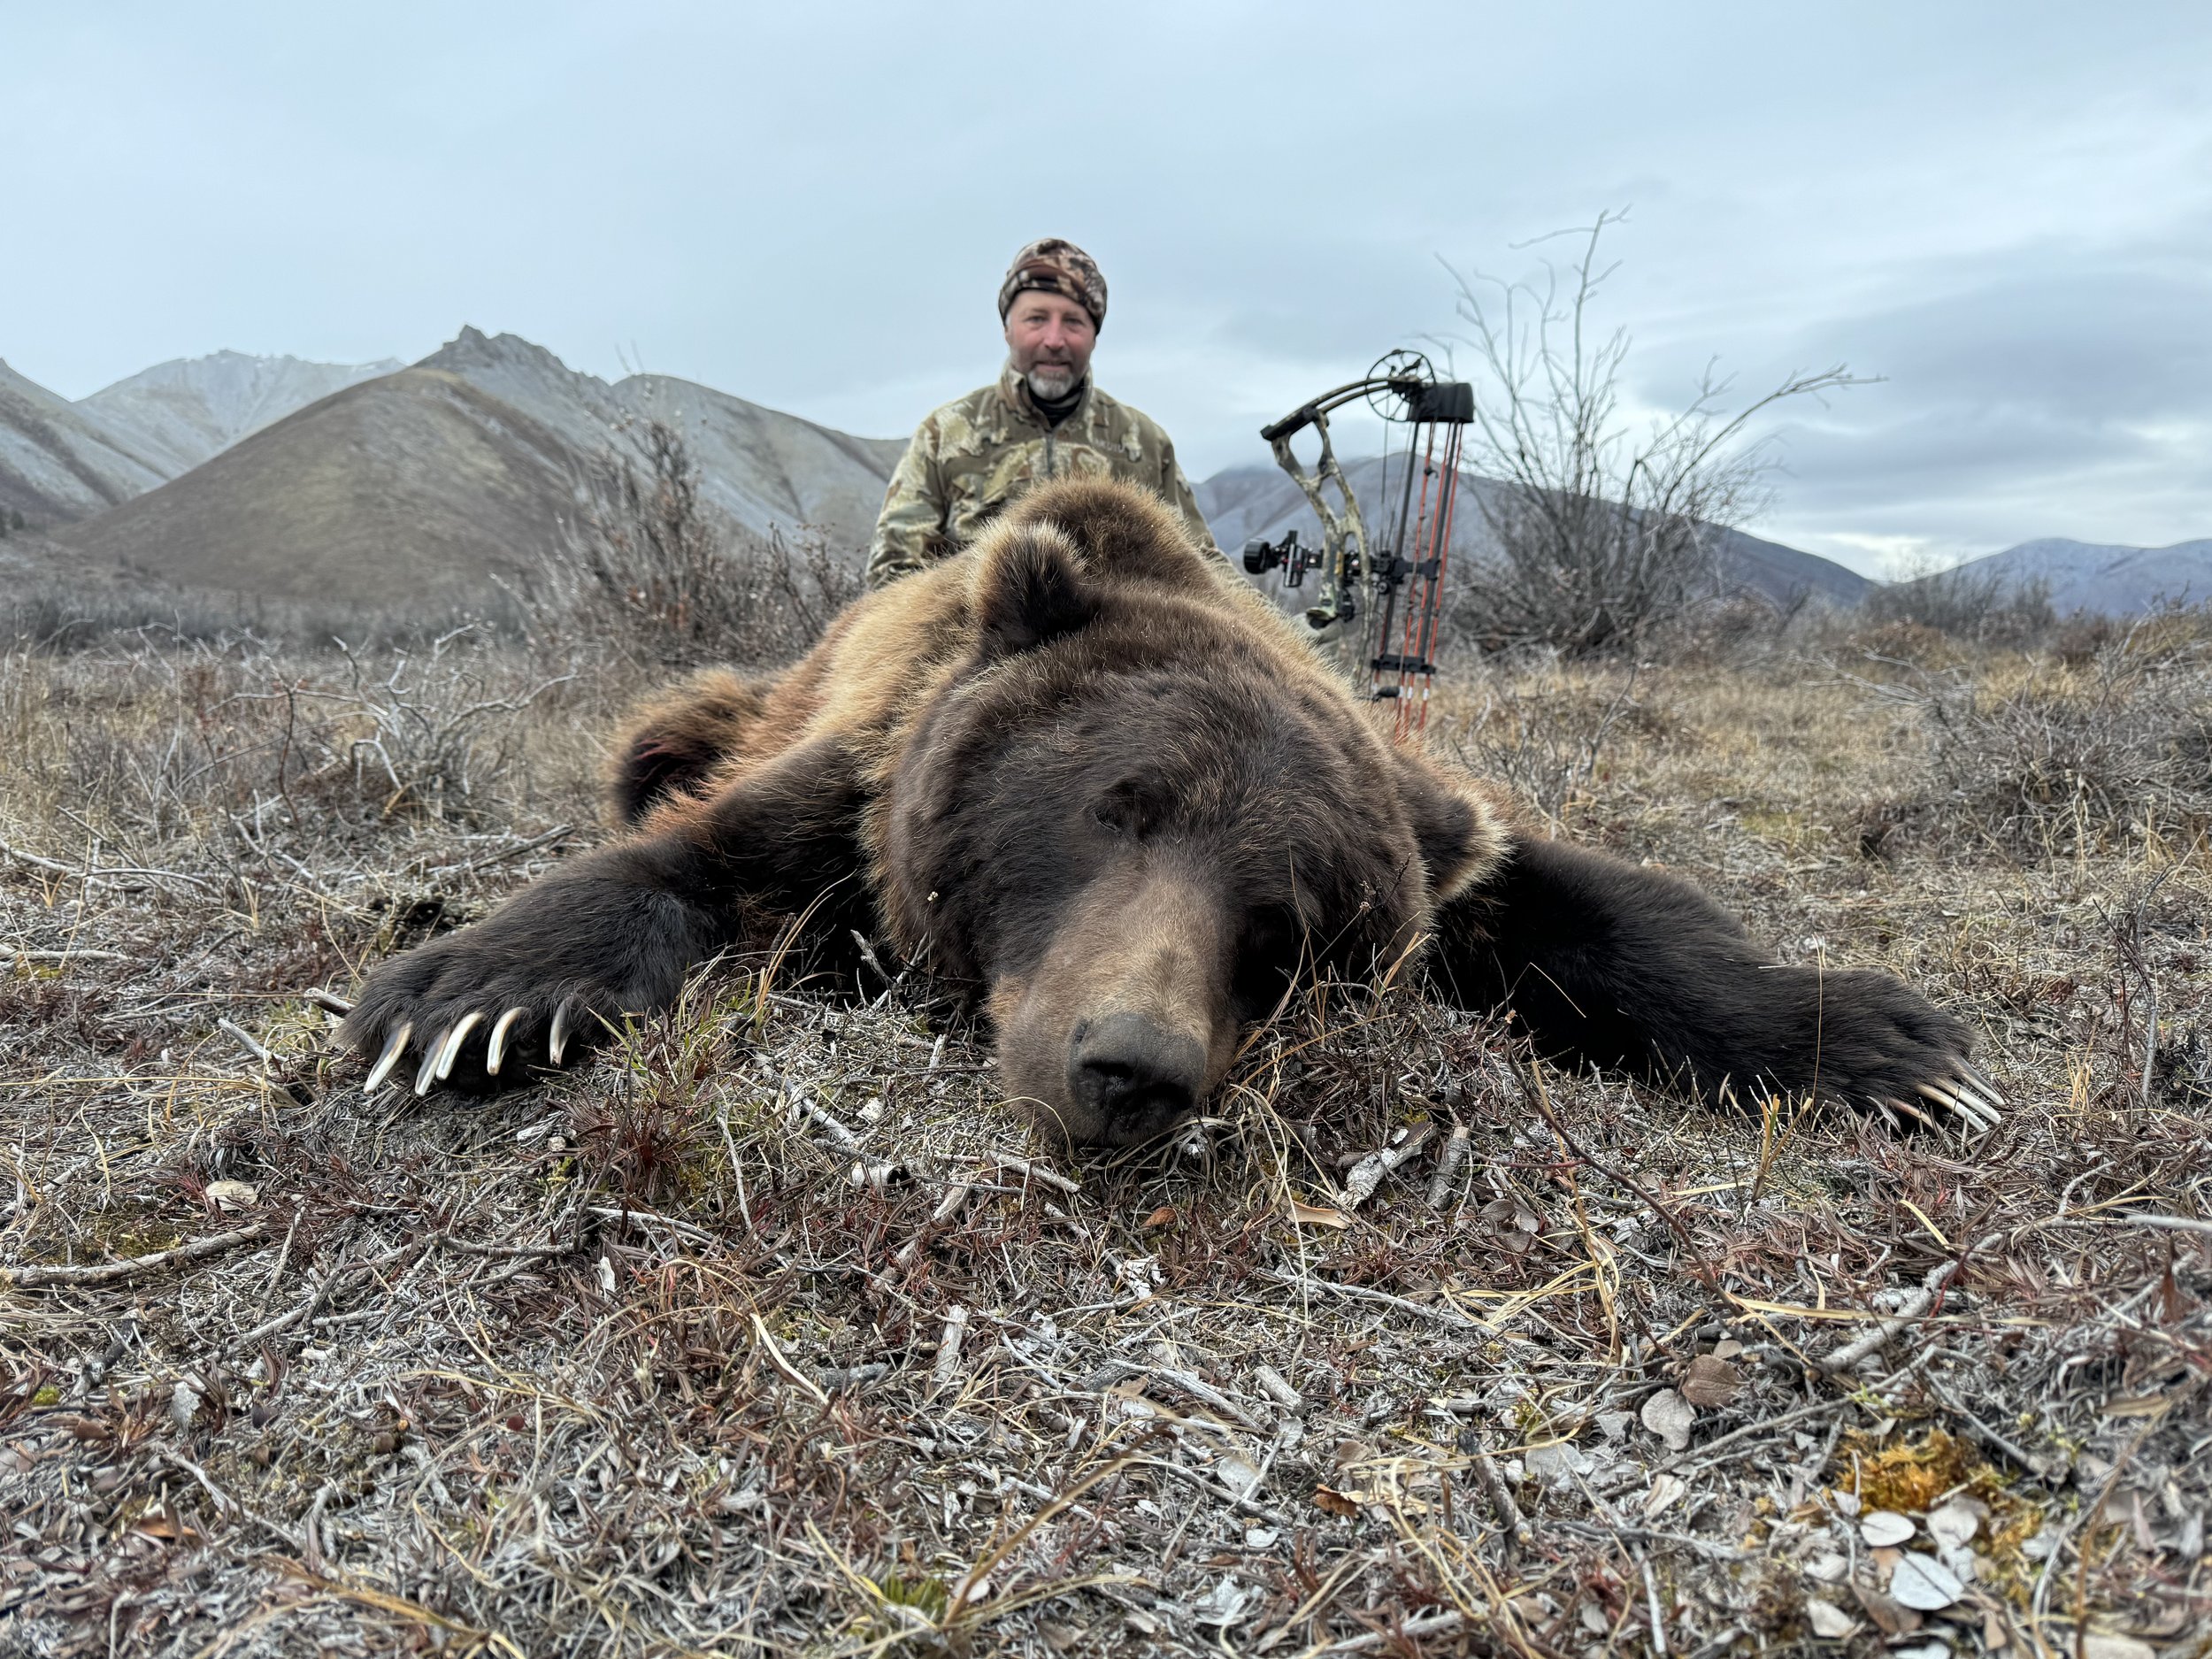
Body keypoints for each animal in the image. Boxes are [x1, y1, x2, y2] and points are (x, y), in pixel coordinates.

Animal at [339, 476, 2002, 1147]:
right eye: (1111, 810)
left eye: (1291, 924)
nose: (1130, 1062)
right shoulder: (866, 784)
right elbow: (699, 861)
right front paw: (464, 998)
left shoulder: (1438, 826)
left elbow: (1583, 902)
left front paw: (1894, 1051)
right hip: (732, 696)